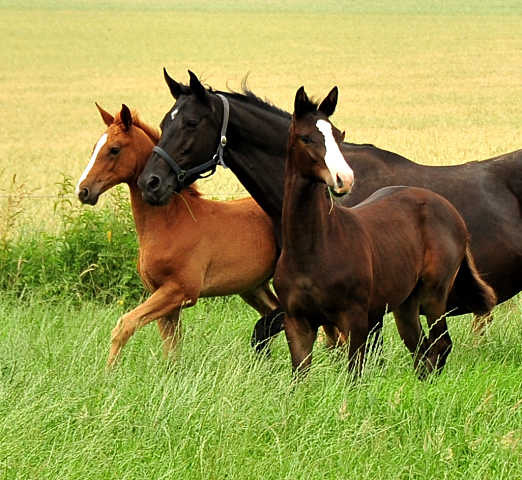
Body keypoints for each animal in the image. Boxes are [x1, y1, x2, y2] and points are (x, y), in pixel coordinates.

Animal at [75, 105, 278, 366]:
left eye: (114, 149)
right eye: (94, 148)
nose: (83, 191)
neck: (169, 223)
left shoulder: (181, 290)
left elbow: (125, 325)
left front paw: (108, 371)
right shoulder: (162, 295)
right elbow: (172, 347)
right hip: (253, 288)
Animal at [274, 86, 494, 376]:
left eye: (339, 135)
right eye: (306, 138)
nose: (344, 179)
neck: (312, 250)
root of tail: (449, 209)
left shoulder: (355, 320)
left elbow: (354, 374)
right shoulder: (298, 325)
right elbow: (299, 378)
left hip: (434, 293)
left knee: (440, 346)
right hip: (406, 304)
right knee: (420, 349)